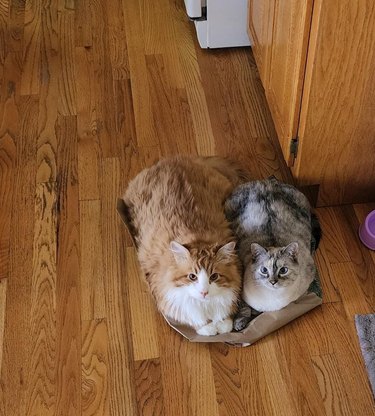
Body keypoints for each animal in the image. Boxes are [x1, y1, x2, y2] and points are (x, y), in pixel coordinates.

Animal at [123, 155, 247, 334]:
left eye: (214, 276)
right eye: (192, 277)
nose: (204, 292)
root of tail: (172, 159)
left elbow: (225, 318)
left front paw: (223, 323)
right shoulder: (164, 294)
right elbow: (193, 318)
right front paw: (208, 328)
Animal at [225, 179, 322, 332]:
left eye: (283, 270)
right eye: (264, 270)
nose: (273, 281)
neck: (272, 300)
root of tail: (267, 181)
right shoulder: (239, 289)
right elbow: (244, 308)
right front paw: (240, 324)